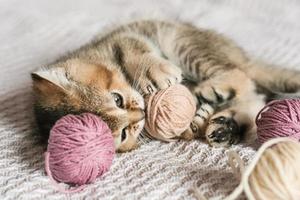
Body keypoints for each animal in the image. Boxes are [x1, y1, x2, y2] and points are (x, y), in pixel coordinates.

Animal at [31, 19, 300, 152]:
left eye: (117, 99)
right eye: (123, 133)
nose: (141, 114)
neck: (94, 55)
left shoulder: (122, 38)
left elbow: (134, 51)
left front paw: (155, 73)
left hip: (181, 43)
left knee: (242, 76)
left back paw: (210, 93)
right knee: (254, 95)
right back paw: (224, 126)